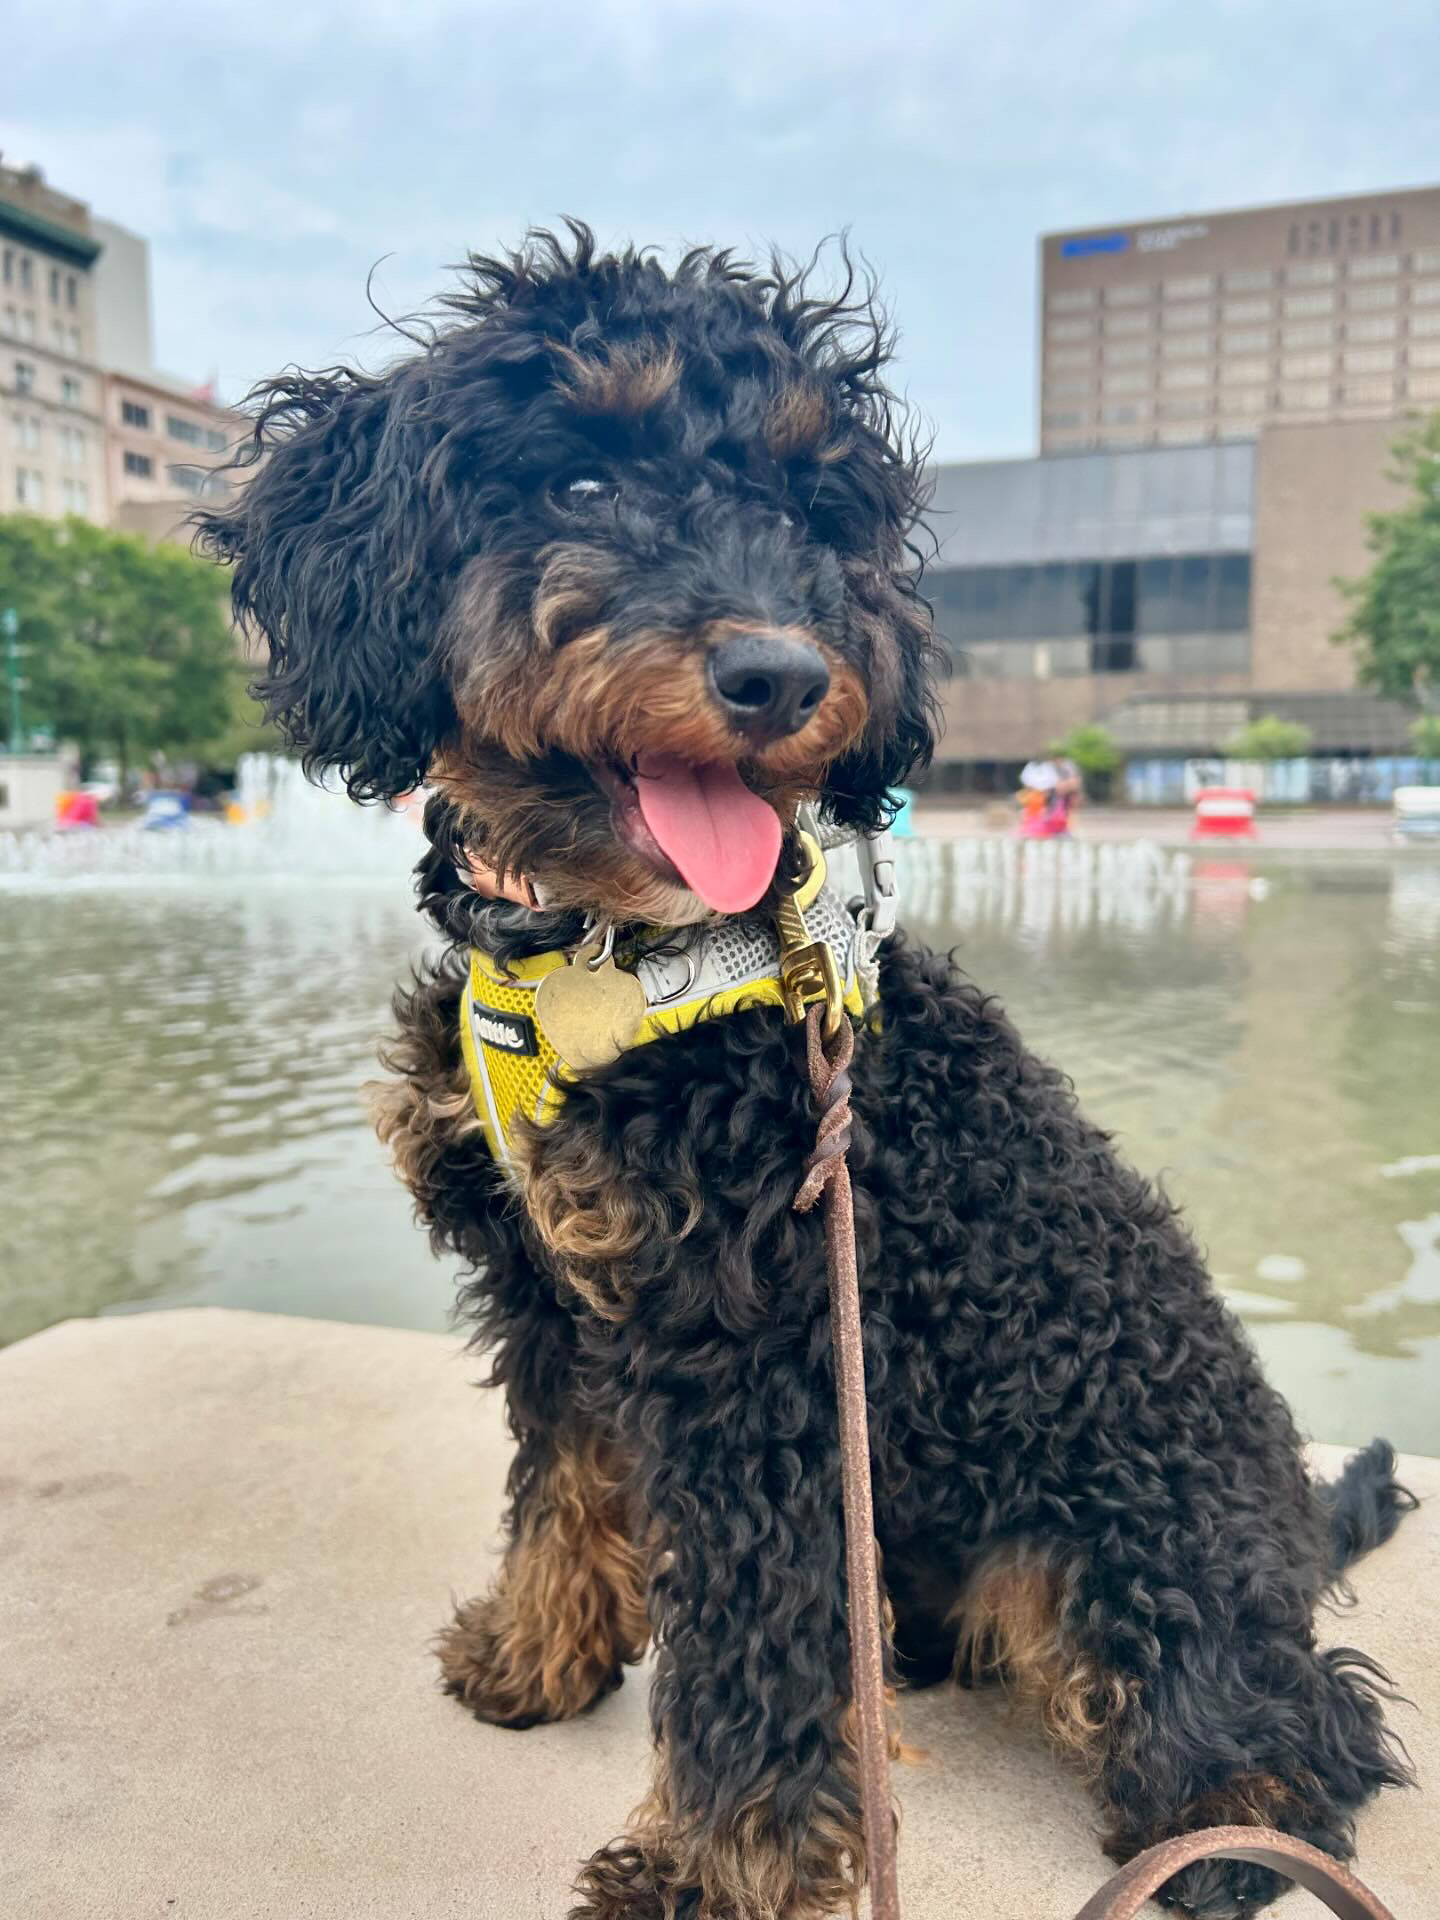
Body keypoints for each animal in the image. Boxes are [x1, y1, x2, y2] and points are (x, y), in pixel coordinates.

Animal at [197, 228, 1413, 1920]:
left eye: (806, 513)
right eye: (582, 480)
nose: (778, 674)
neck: (602, 951)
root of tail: (1292, 1522)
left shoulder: (753, 1358)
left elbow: (754, 1647)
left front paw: (713, 1868)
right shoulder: (555, 1295)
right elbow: (562, 1486)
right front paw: (535, 1656)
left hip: (1129, 1548)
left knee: (1304, 1718)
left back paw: (1228, 1827)